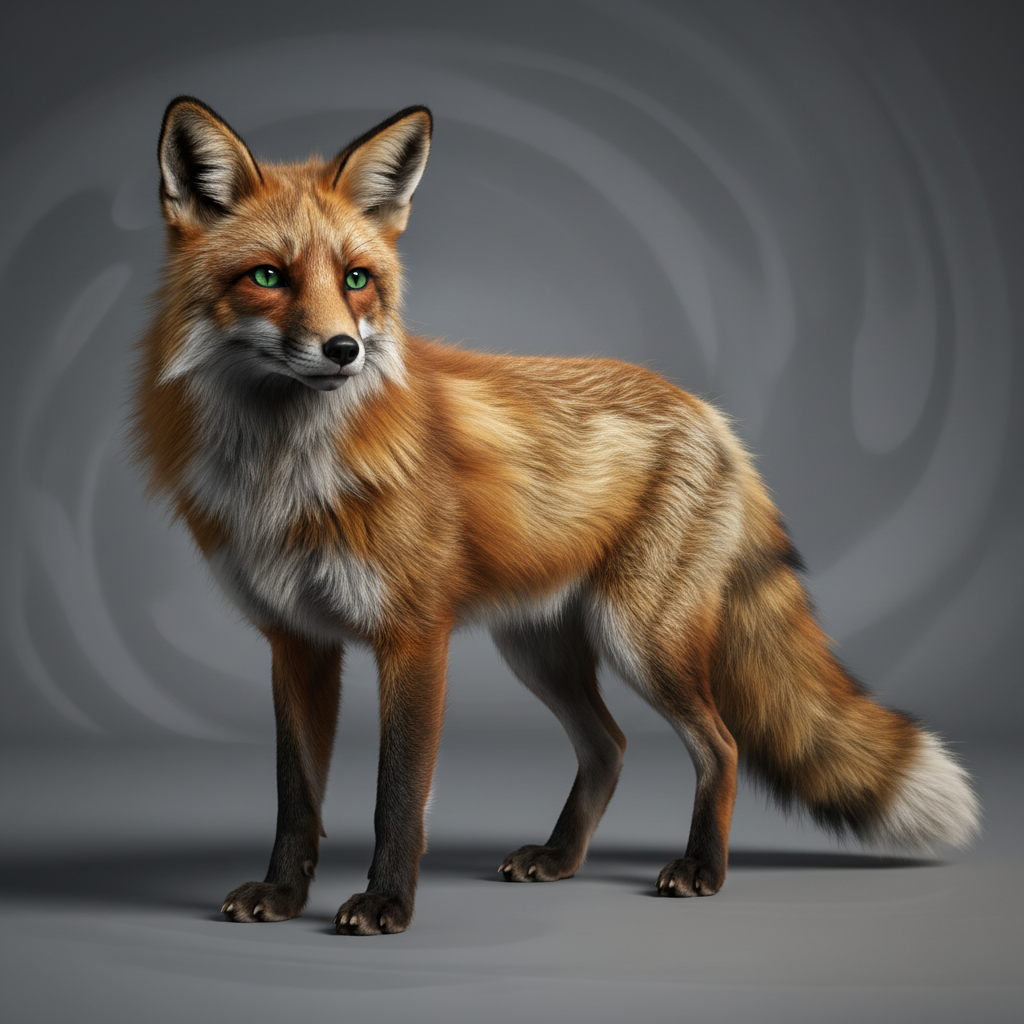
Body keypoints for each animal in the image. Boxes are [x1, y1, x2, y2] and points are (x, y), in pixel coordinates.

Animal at [131, 96, 980, 936]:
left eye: (357, 279)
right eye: (268, 276)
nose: (344, 350)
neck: (285, 474)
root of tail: (709, 413)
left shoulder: (413, 637)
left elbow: (396, 796)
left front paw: (387, 904)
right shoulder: (297, 640)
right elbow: (294, 795)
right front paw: (281, 893)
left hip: (640, 639)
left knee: (721, 745)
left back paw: (702, 869)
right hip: (538, 647)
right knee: (609, 747)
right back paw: (562, 857)